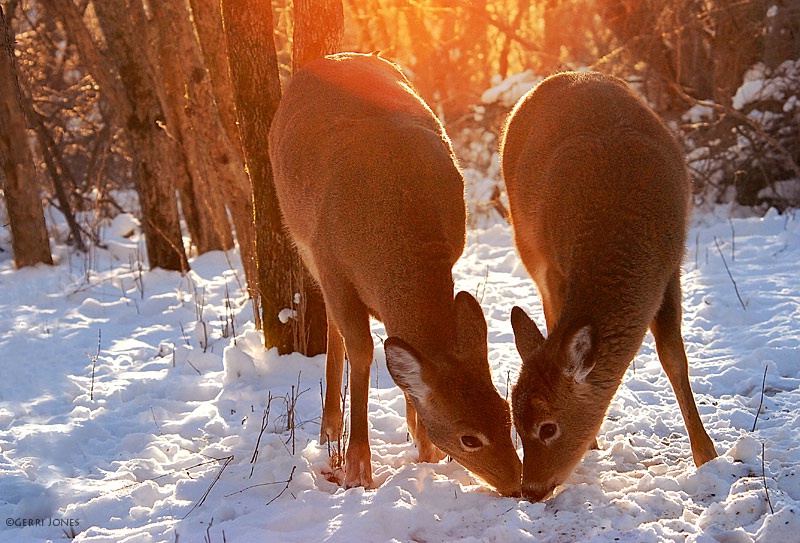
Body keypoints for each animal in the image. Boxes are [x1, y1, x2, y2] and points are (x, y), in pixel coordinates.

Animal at [266, 53, 520, 500]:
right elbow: (363, 350)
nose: (518, 484)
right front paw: (357, 468)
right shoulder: (333, 264)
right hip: (303, 238)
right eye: (468, 438)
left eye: (505, 411)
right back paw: (329, 426)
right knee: (334, 327)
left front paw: (423, 445)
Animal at [500, 71, 720, 502]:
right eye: (515, 422)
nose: (530, 490)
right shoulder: (555, 268)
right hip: (527, 245)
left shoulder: (670, 268)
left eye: (547, 427)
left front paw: (708, 455)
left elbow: (674, 358)